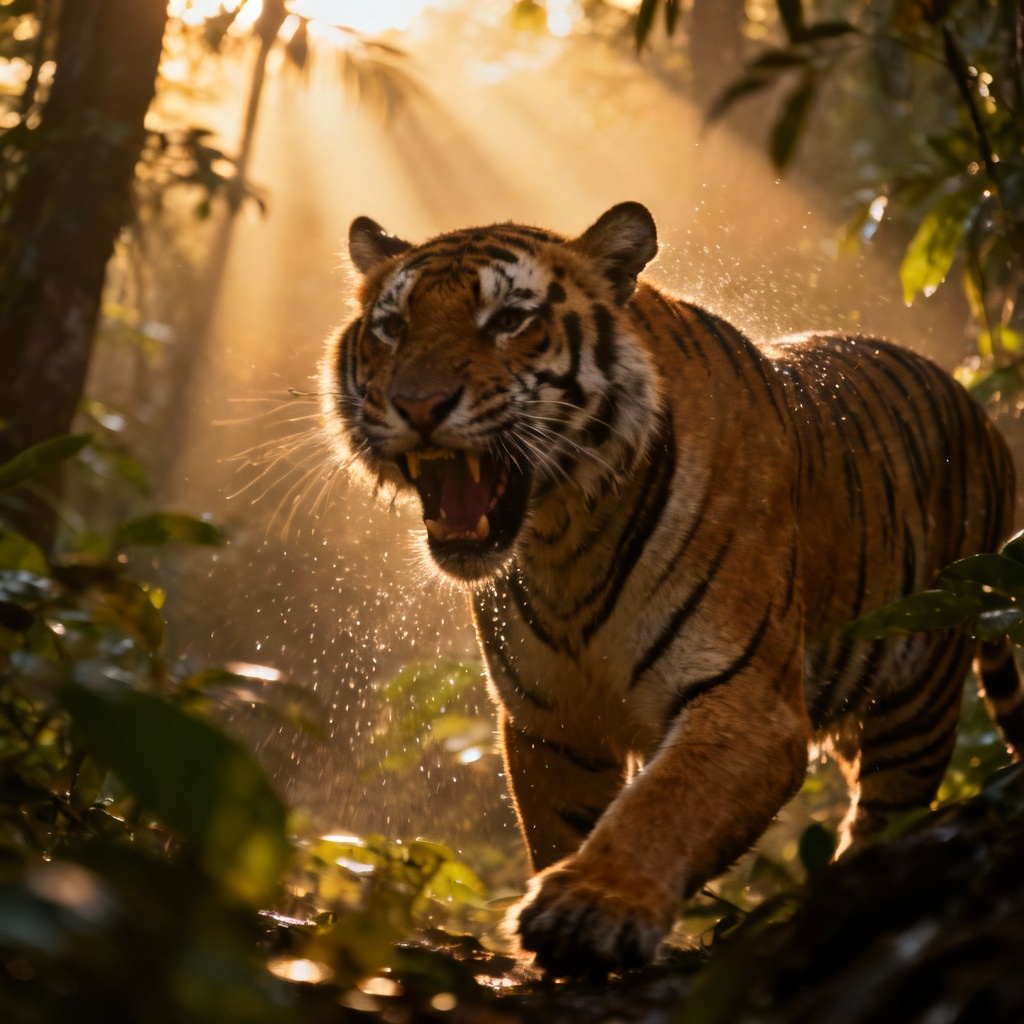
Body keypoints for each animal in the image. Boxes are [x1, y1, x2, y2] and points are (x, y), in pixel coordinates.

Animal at [321, 201, 1022, 976]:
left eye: (508, 319)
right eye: (392, 327)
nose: (418, 405)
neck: (563, 540)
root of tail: (974, 404)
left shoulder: (746, 700)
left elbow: (664, 805)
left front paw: (592, 905)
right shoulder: (551, 722)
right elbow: (561, 825)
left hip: (924, 693)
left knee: (889, 816)